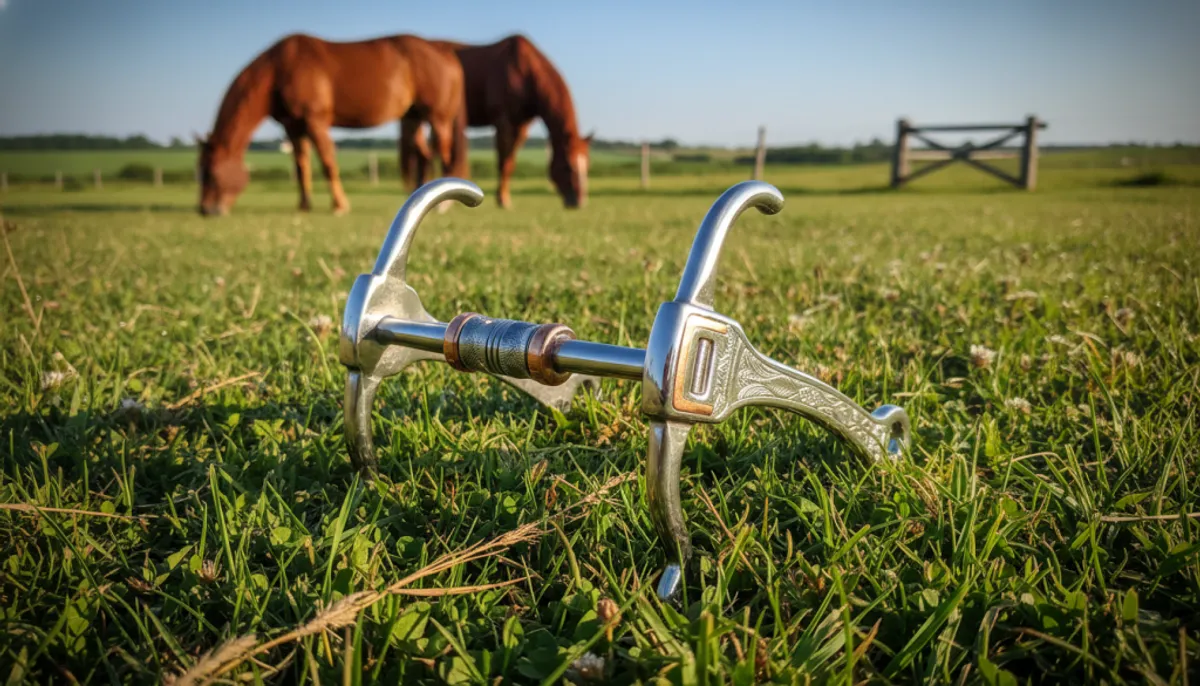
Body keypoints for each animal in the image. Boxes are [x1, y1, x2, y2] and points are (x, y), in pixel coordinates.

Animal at [196, 33, 468, 216]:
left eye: (211, 172)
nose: (205, 209)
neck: (278, 70)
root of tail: (445, 54)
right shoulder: (293, 126)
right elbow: (301, 166)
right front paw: (304, 205)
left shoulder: (315, 119)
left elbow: (327, 162)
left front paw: (339, 205)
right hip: (412, 117)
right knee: (423, 155)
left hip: (438, 116)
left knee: (444, 153)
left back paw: (444, 204)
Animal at [398, 34, 593, 209]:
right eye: (568, 166)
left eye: (587, 165)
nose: (578, 202)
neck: (523, 71)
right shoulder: (503, 120)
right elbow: (504, 162)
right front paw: (503, 200)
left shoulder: (522, 125)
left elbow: (511, 161)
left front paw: (504, 198)